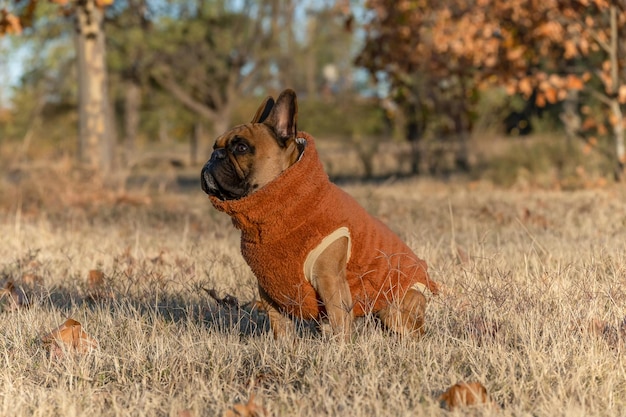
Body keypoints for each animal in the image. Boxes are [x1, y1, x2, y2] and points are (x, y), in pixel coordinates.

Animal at [202, 88, 436, 338]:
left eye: (241, 148)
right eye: (215, 146)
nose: (215, 155)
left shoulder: (329, 280)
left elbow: (339, 320)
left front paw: (341, 346)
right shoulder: (267, 286)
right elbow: (280, 326)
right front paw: (285, 346)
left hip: (394, 310)